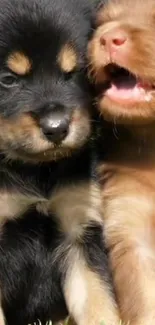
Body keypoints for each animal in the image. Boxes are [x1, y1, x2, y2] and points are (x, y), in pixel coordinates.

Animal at [0, 0, 120, 322]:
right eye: (7, 79)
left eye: (73, 71)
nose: (57, 128)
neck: (33, 170)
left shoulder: (78, 228)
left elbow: (100, 305)